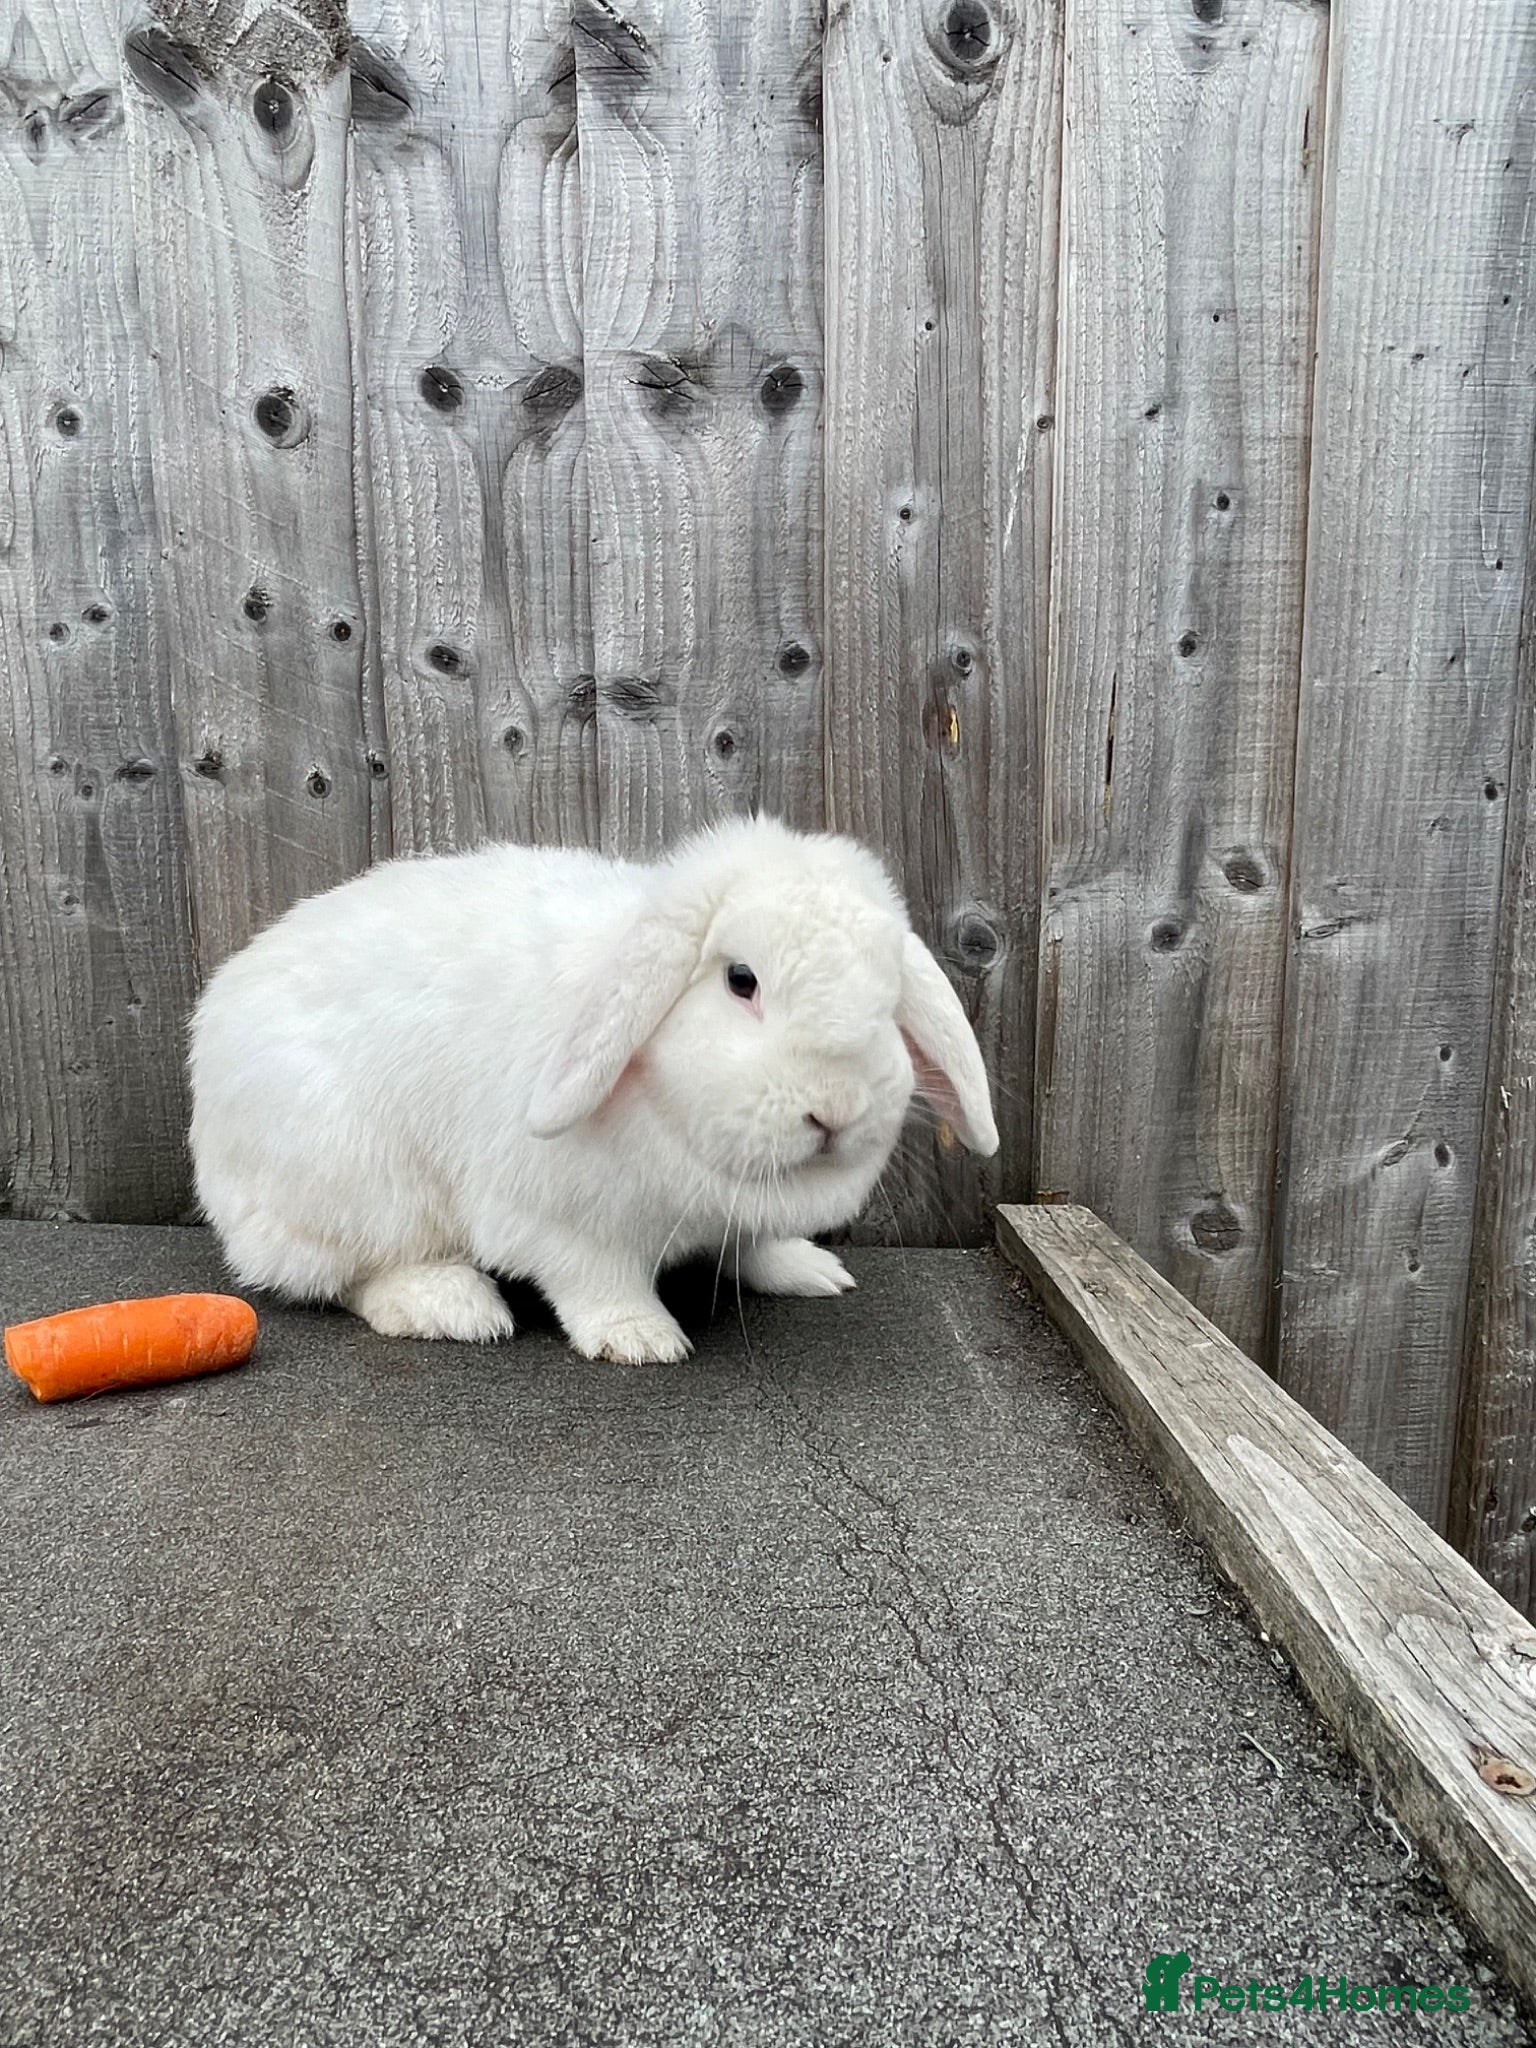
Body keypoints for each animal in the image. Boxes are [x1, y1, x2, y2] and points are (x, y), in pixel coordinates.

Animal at [188, 813, 999, 1363]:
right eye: (742, 980)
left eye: (889, 993)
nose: (836, 1109)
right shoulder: (558, 1221)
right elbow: (595, 1279)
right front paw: (640, 1337)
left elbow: (754, 1244)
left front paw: (807, 1269)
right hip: (359, 1187)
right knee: (343, 1273)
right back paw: (451, 1305)